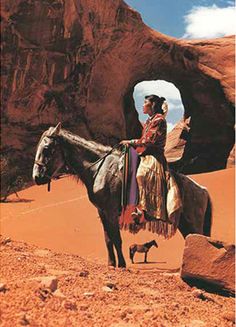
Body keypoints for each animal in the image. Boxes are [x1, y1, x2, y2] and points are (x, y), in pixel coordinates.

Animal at [31, 123, 212, 270]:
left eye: (46, 149)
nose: (37, 177)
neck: (100, 169)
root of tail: (202, 190)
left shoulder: (111, 211)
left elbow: (117, 238)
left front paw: (123, 265)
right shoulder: (102, 212)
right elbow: (108, 239)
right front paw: (111, 264)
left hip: (193, 222)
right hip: (185, 223)